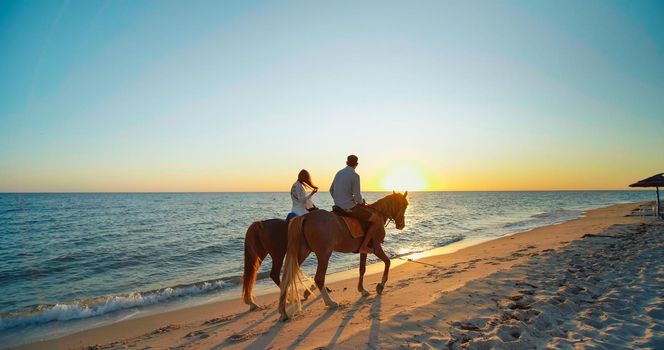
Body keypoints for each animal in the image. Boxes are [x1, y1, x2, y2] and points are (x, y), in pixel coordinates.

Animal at [276, 191, 408, 320]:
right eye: (404, 205)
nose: (401, 225)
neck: (378, 213)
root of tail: (305, 217)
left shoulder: (363, 251)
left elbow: (362, 269)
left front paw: (362, 289)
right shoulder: (376, 247)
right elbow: (387, 262)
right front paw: (381, 285)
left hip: (302, 252)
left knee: (287, 277)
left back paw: (282, 311)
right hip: (324, 254)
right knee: (319, 278)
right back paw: (330, 303)